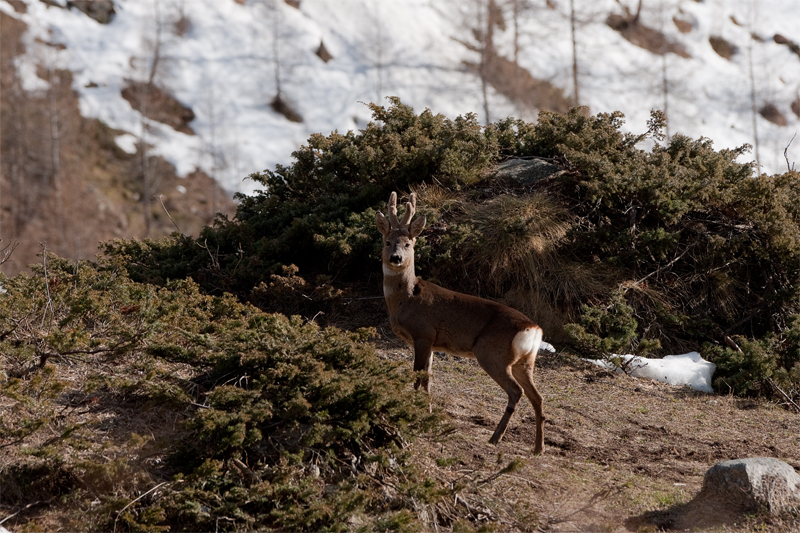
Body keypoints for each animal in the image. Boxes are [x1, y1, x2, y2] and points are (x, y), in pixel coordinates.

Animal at [378, 191, 548, 454]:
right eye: (387, 242)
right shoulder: (432, 343)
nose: (396, 258)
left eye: (409, 244)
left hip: (492, 354)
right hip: (526, 362)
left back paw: (495, 438)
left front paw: (410, 409)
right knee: (538, 397)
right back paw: (538, 448)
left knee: (516, 392)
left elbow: (418, 376)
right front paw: (426, 411)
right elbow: (428, 379)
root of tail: (534, 330)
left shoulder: (423, 333)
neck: (405, 299)